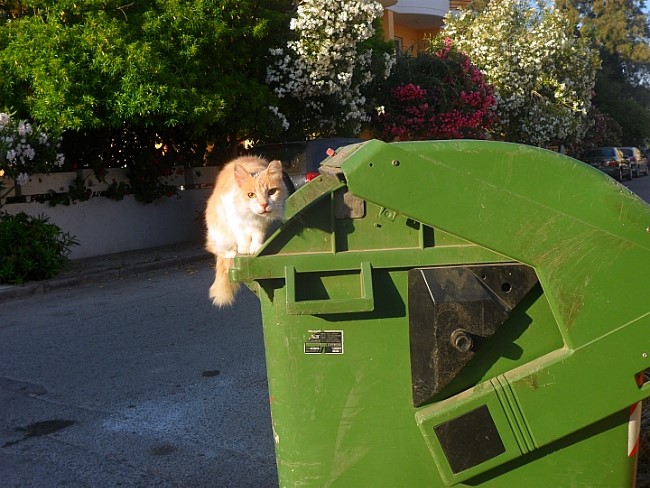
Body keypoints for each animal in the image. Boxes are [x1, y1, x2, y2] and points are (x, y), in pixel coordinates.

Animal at [205, 156, 287, 307]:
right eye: (251, 195)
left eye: (271, 192)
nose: (264, 204)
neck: (253, 217)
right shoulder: (234, 219)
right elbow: (242, 236)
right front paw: (244, 249)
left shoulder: (262, 225)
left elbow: (258, 236)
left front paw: (256, 248)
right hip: (219, 233)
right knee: (214, 248)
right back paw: (232, 252)